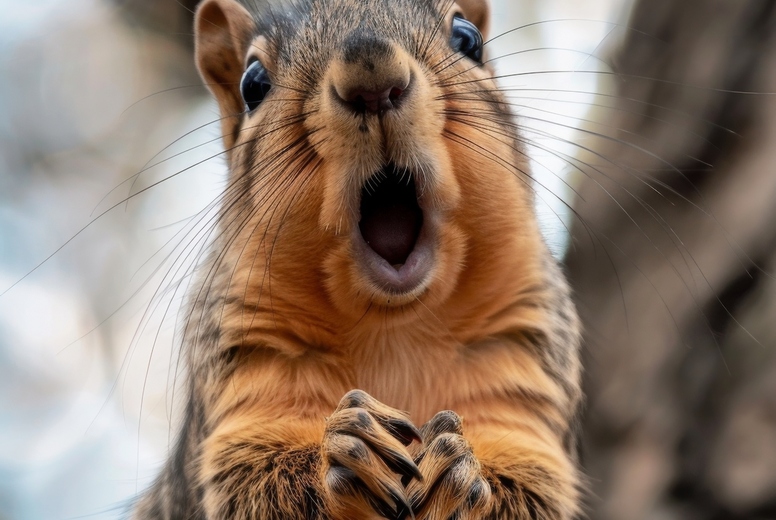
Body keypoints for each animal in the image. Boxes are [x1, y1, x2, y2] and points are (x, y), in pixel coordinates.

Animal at [133, 0, 583, 518]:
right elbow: (257, 483)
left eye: (468, 39)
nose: (372, 80)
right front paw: (346, 446)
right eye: (253, 84)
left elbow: (529, 486)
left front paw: (458, 470)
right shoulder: (249, 371)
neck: (394, 328)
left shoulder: (518, 367)